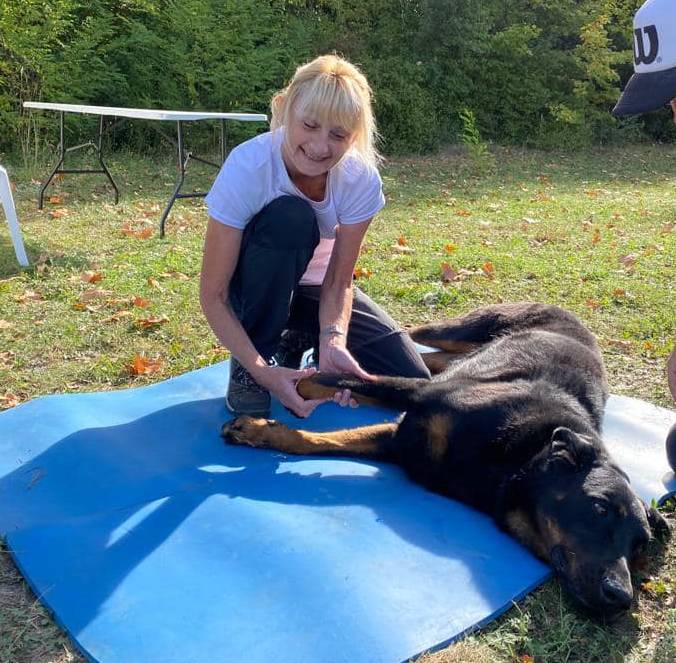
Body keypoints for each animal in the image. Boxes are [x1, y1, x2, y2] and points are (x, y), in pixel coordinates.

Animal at [223, 304, 672, 620]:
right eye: (599, 509)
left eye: (640, 544)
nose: (621, 597)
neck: (516, 459)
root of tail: (574, 317)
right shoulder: (418, 397)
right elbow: (334, 380)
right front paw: (290, 386)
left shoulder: (397, 442)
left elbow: (320, 442)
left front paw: (260, 431)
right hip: (461, 327)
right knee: (413, 334)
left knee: (432, 359)